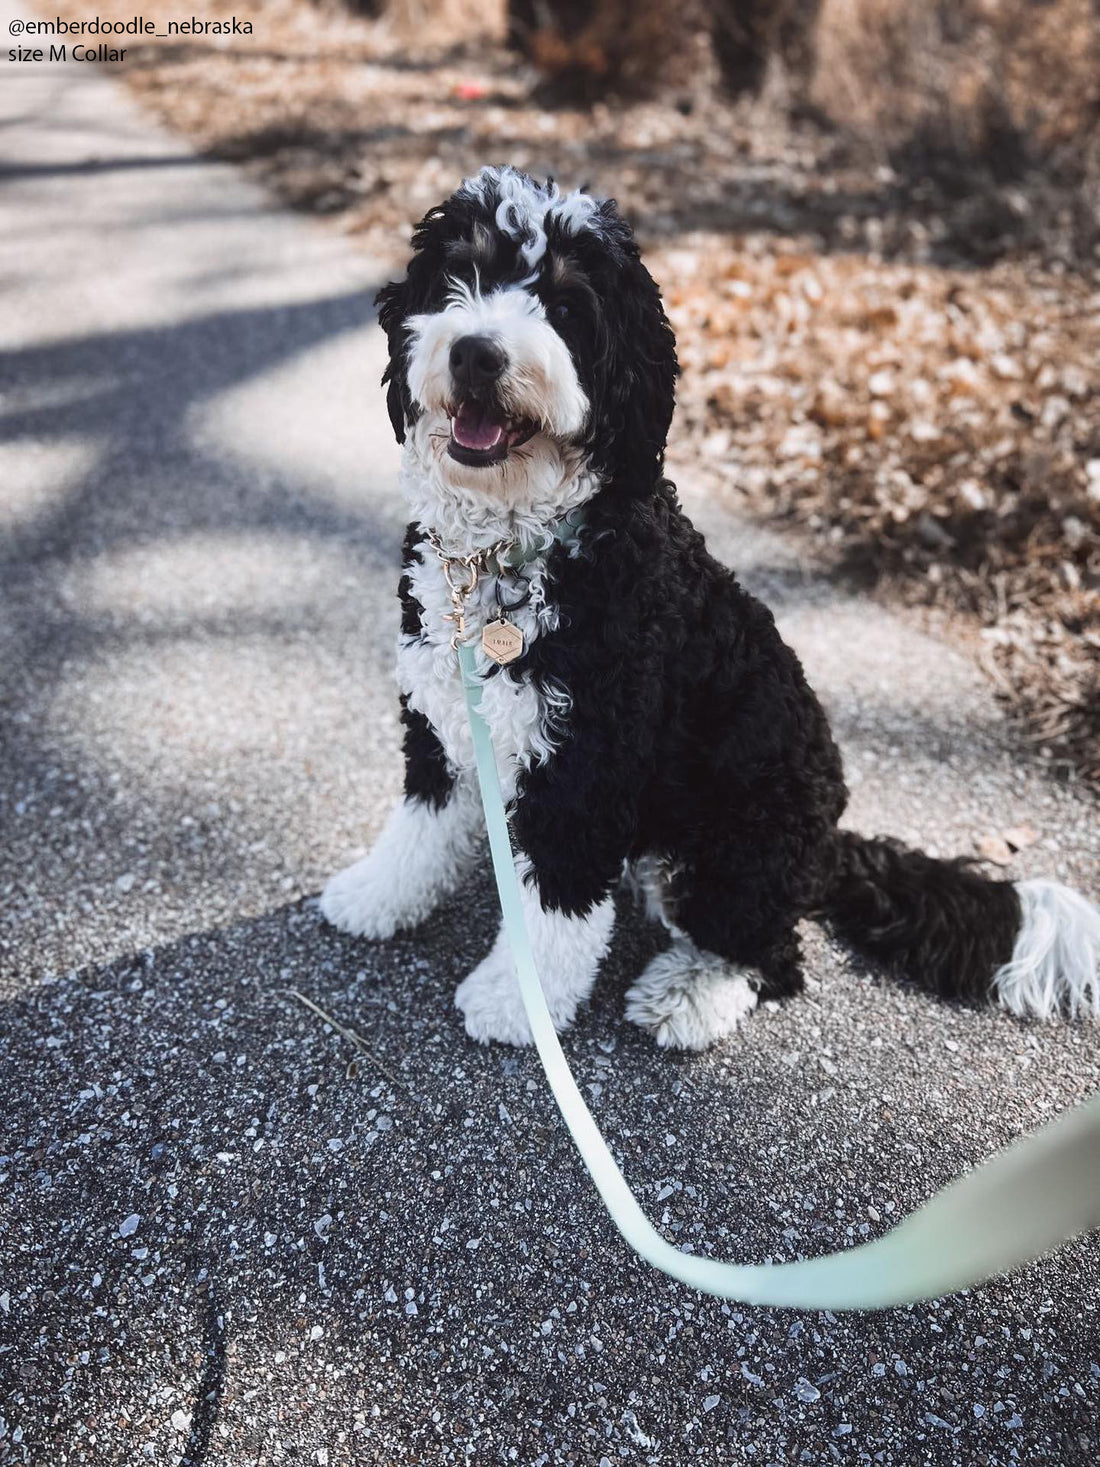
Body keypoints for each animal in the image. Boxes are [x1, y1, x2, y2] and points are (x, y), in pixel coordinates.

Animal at [321, 166, 1100, 1050]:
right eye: (465, 272)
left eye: (569, 305)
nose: (478, 352)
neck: (513, 551)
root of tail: (829, 845)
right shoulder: (445, 724)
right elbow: (419, 826)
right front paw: (376, 895)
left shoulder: (586, 769)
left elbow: (557, 909)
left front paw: (515, 1001)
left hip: (737, 839)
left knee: (770, 952)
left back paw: (691, 993)